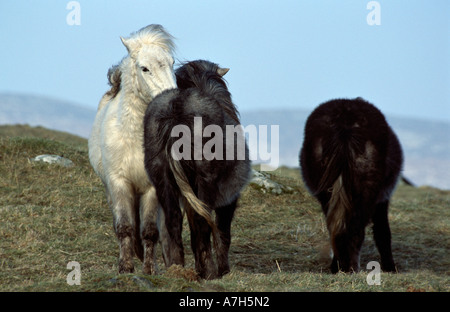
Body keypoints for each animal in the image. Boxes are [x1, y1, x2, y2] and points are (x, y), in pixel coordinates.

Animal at [89, 24, 177, 272]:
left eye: (171, 63)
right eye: (144, 68)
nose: (172, 102)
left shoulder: (151, 187)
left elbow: (149, 231)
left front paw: (149, 269)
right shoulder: (119, 184)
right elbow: (125, 227)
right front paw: (125, 268)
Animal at [143, 59, 251, 280]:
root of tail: (177, 109)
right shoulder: (229, 197)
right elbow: (222, 230)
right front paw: (223, 269)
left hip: (162, 177)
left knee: (173, 218)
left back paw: (178, 268)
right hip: (205, 180)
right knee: (204, 222)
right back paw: (209, 271)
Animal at [300, 97, 402, 272]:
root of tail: (344, 119)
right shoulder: (383, 198)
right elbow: (383, 232)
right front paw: (390, 267)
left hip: (327, 191)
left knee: (336, 229)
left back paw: (338, 267)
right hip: (366, 192)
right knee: (355, 230)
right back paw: (351, 268)